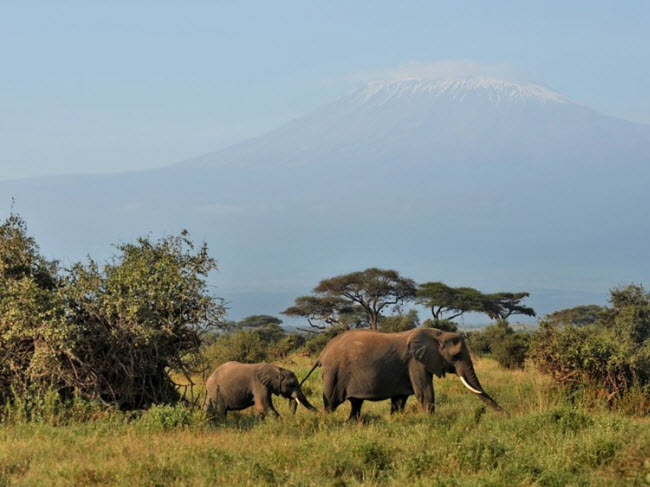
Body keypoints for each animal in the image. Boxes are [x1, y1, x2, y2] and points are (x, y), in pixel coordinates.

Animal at [302, 328, 504, 420]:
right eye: (456, 356)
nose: (506, 414)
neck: (437, 334)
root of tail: (322, 352)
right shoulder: (416, 362)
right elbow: (425, 393)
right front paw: (429, 421)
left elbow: (399, 400)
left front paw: (397, 420)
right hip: (334, 373)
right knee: (331, 403)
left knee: (356, 404)